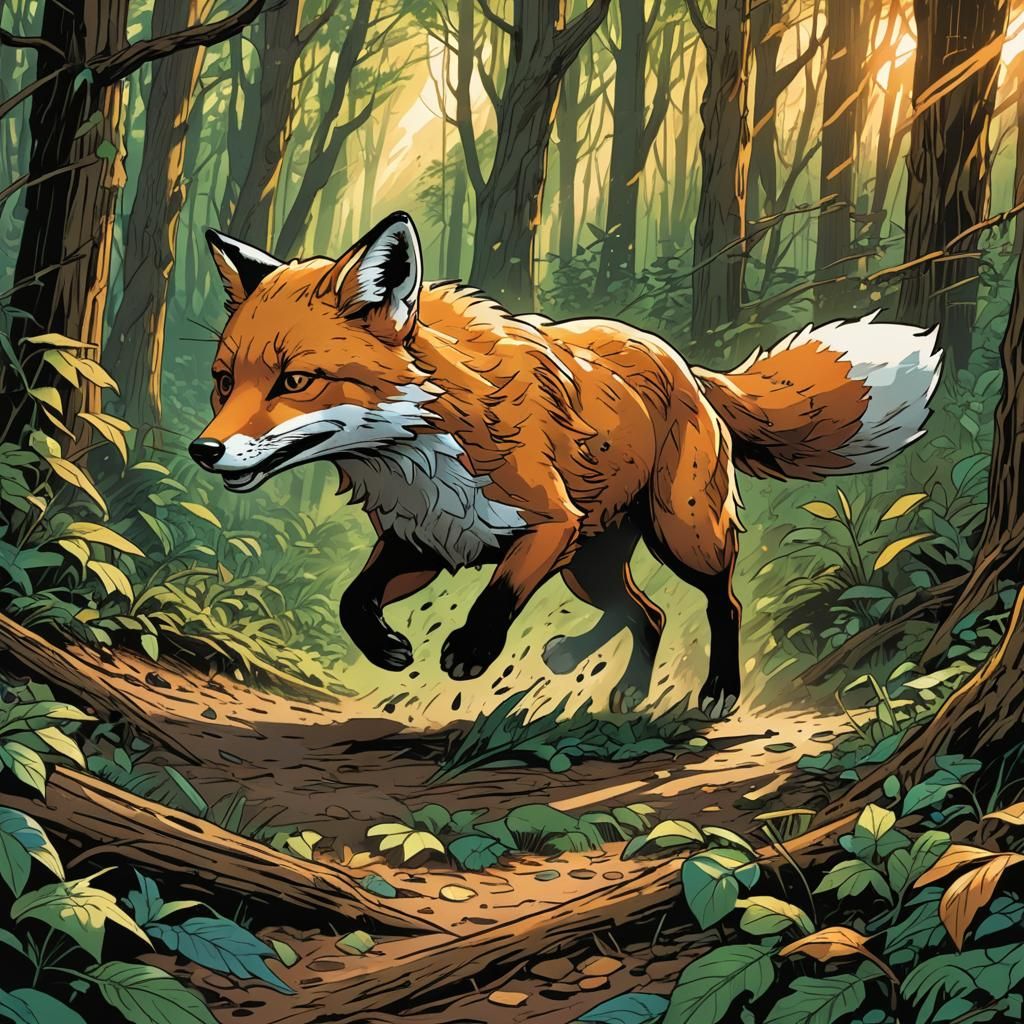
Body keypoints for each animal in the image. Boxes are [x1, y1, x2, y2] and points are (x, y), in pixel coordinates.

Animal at [190, 211, 941, 719]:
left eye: (294, 381)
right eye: (224, 382)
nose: (204, 450)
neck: (418, 450)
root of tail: (686, 365)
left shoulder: (547, 524)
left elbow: (499, 594)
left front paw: (471, 650)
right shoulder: (424, 543)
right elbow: (353, 600)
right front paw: (386, 650)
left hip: (679, 535)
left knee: (721, 602)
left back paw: (718, 690)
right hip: (593, 564)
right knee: (647, 614)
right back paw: (611, 678)